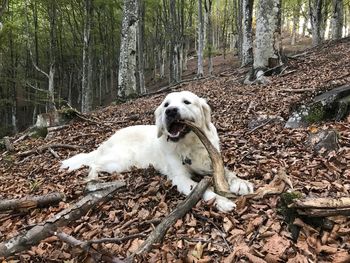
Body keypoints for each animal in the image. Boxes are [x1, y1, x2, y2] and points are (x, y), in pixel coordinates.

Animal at [60, 91, 252, 212]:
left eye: (186, 102)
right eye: (166, 104)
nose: (170, 111)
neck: (188, 144)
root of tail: (108, 139)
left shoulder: (210, 163)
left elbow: (227, 172)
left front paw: (241, 183)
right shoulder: (179, 177)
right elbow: (201, 189)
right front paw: (221, 201)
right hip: (121, 160)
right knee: (94, 163)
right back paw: (93, 179)